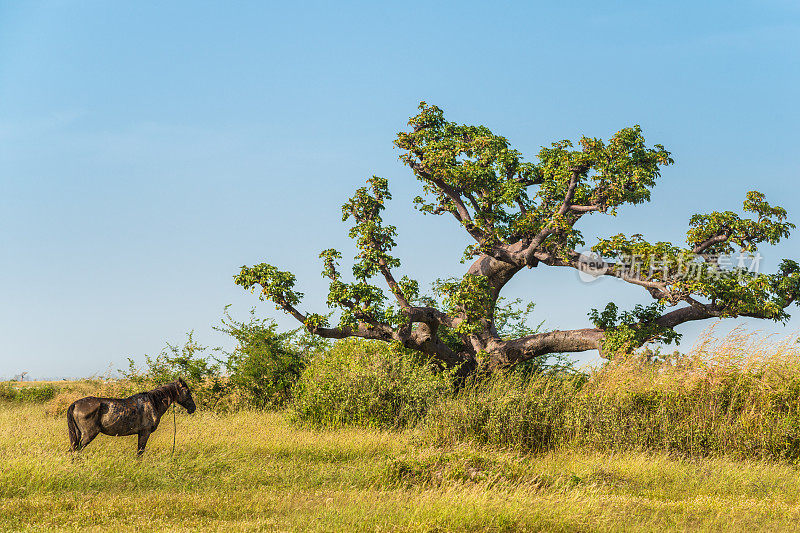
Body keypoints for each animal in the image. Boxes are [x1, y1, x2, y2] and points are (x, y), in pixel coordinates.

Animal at [66, 376, 197, 456]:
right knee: (77, 451)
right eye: (187, 391)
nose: (193, 408)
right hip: (89, 434)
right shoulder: (145, 432)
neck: (153, 402)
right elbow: (140, 453)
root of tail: (75, 404)